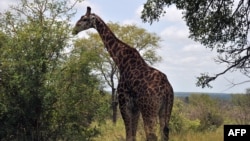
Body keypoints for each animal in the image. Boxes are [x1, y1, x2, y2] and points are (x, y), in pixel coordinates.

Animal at [72, 6, 174, 141]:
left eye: (84, 19)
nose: (74, 29)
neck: (121, 61)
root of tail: (167, 89)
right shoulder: (135, 107)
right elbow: (133, 135)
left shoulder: (124, 104)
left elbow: (129, 135)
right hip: (165, 109)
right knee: (165, 132)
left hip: (149, 109)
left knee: (152, 135)